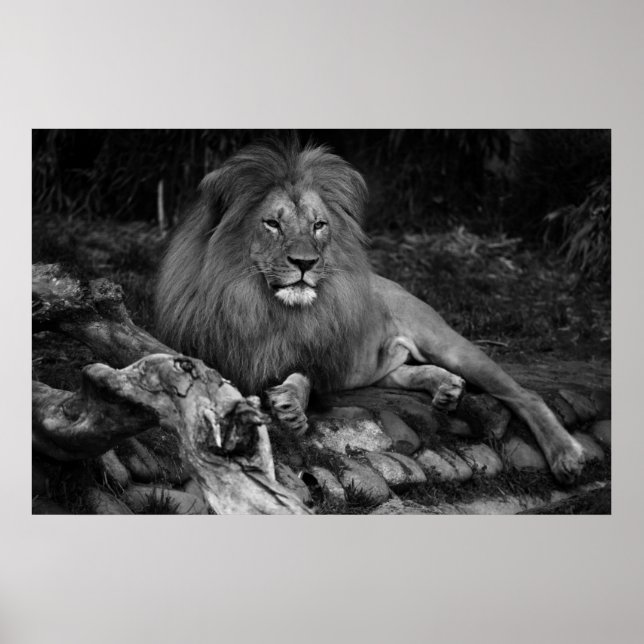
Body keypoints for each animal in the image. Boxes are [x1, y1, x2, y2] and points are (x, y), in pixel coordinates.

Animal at [155, 139, 585, 484]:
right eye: (272, 223)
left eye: (318, 225)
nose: (305, 263)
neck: (261, 306)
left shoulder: (318, 357)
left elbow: (304, 378)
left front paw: (291, 406)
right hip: (387, 367)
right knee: (410, 372)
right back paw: (446, 389)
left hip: (447, 342)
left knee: (525, 394)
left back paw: (566, 455)